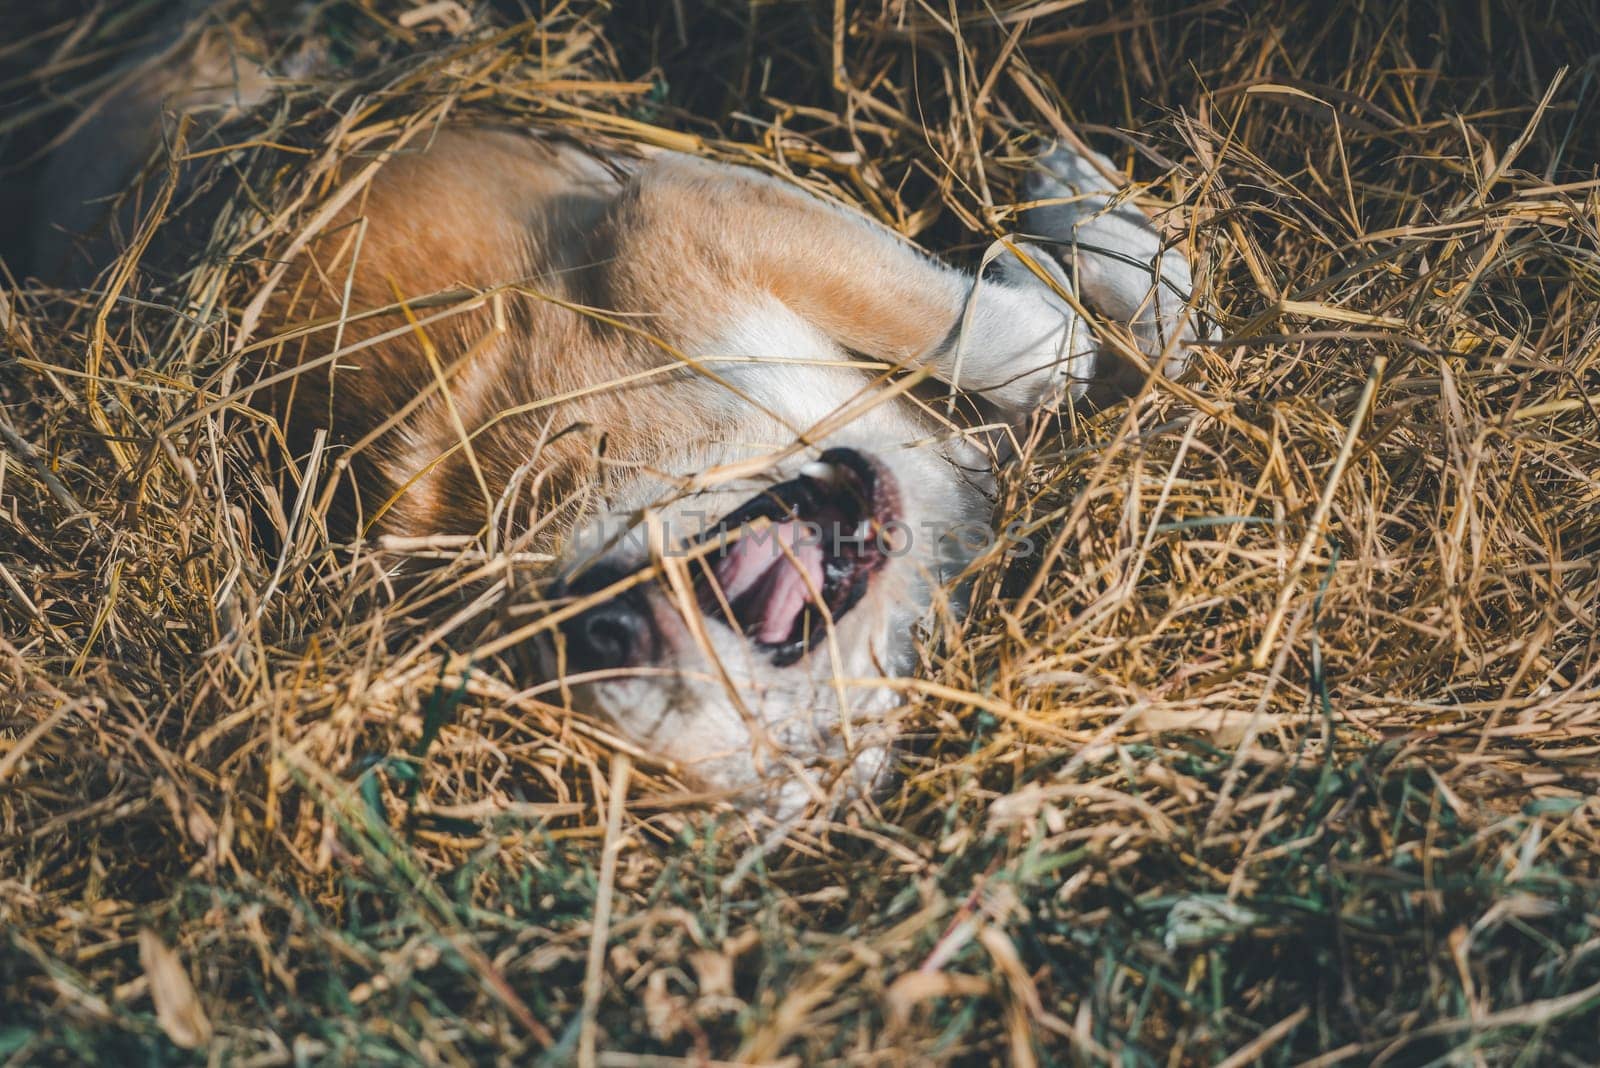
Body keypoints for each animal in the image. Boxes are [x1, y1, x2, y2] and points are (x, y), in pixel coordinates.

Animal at [34, 27, 1209, 818]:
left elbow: (1015, 336)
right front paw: (1083, 267)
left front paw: (1074, 217)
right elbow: (1091, 350)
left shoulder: (681, 213)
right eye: (781, 762)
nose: (602, 633)